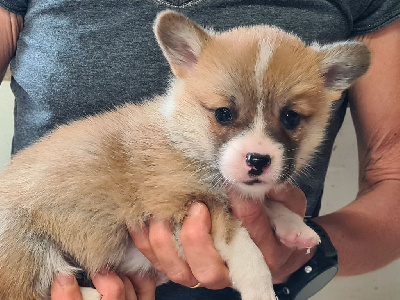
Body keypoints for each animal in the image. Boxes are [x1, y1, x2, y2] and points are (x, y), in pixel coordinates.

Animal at [0, 9, 368, 300]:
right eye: (223, 114)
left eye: (291, 117)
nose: (258, 160)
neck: (186, 140)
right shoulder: (181, 205)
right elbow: (244, 246)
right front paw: (261, 289)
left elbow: (268, 207)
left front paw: (296, 227)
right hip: (28, 249)